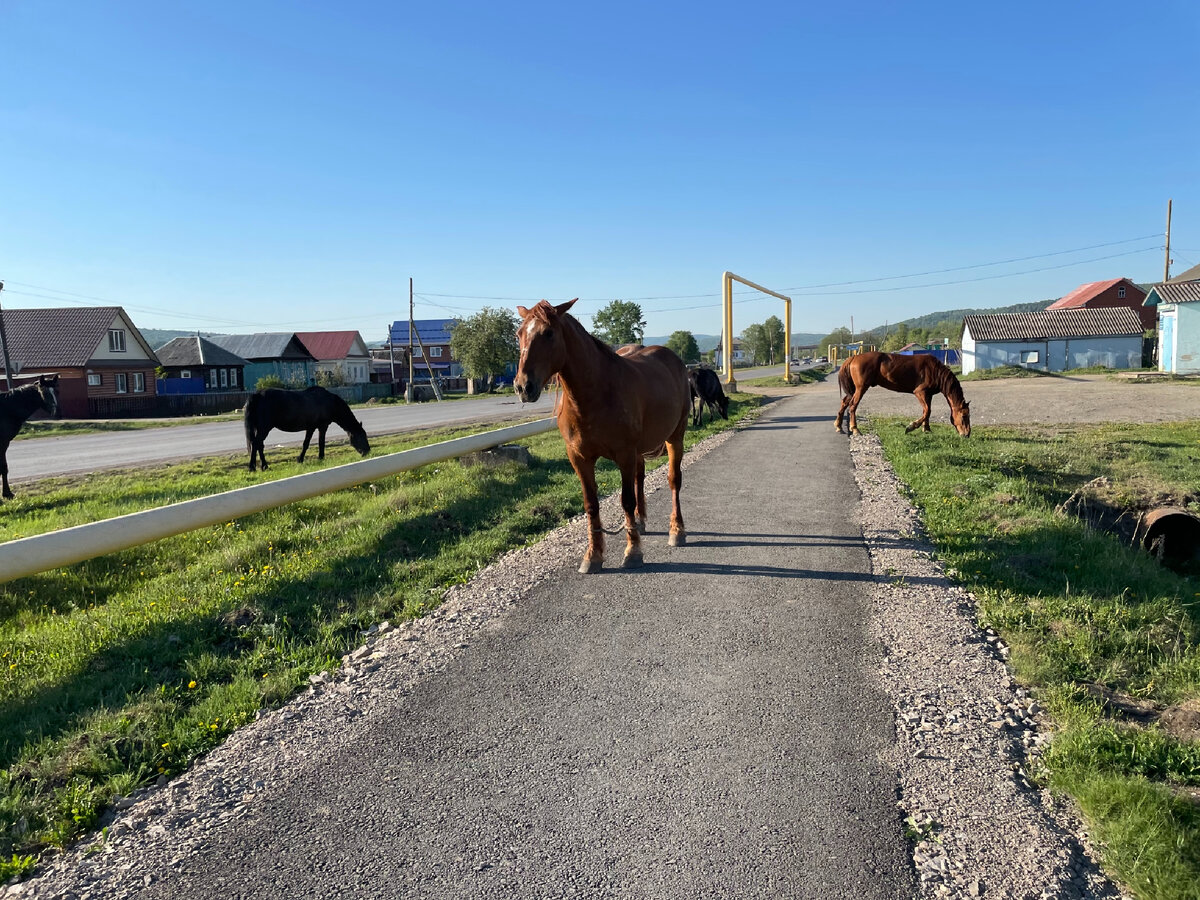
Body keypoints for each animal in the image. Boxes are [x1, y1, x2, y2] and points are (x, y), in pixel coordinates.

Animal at [511, 300, 691, 573]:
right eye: (519, 334)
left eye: (549, 333)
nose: (523, 386)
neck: (595, 394)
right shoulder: (579, 458)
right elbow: (591, 504)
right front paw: (593, 555)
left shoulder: (624, 454)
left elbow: (626, 500)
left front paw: (633, 551)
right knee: (639, 477)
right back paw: (639, 522)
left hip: (675, 437)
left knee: (673, 480)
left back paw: (676, 530)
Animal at [835, 352, 974, 436]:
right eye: (964, 416)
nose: (967, 434)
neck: (935, 371)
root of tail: (854, 357)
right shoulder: (920, 392)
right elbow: (927, 411)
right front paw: (911, 426)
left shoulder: (928, 395)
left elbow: (927, 412)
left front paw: (927, 429)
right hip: (861, 388)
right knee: (853, 405)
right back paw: (855, 429)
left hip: (853, 390)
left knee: (844, 402)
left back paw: (839, 426)